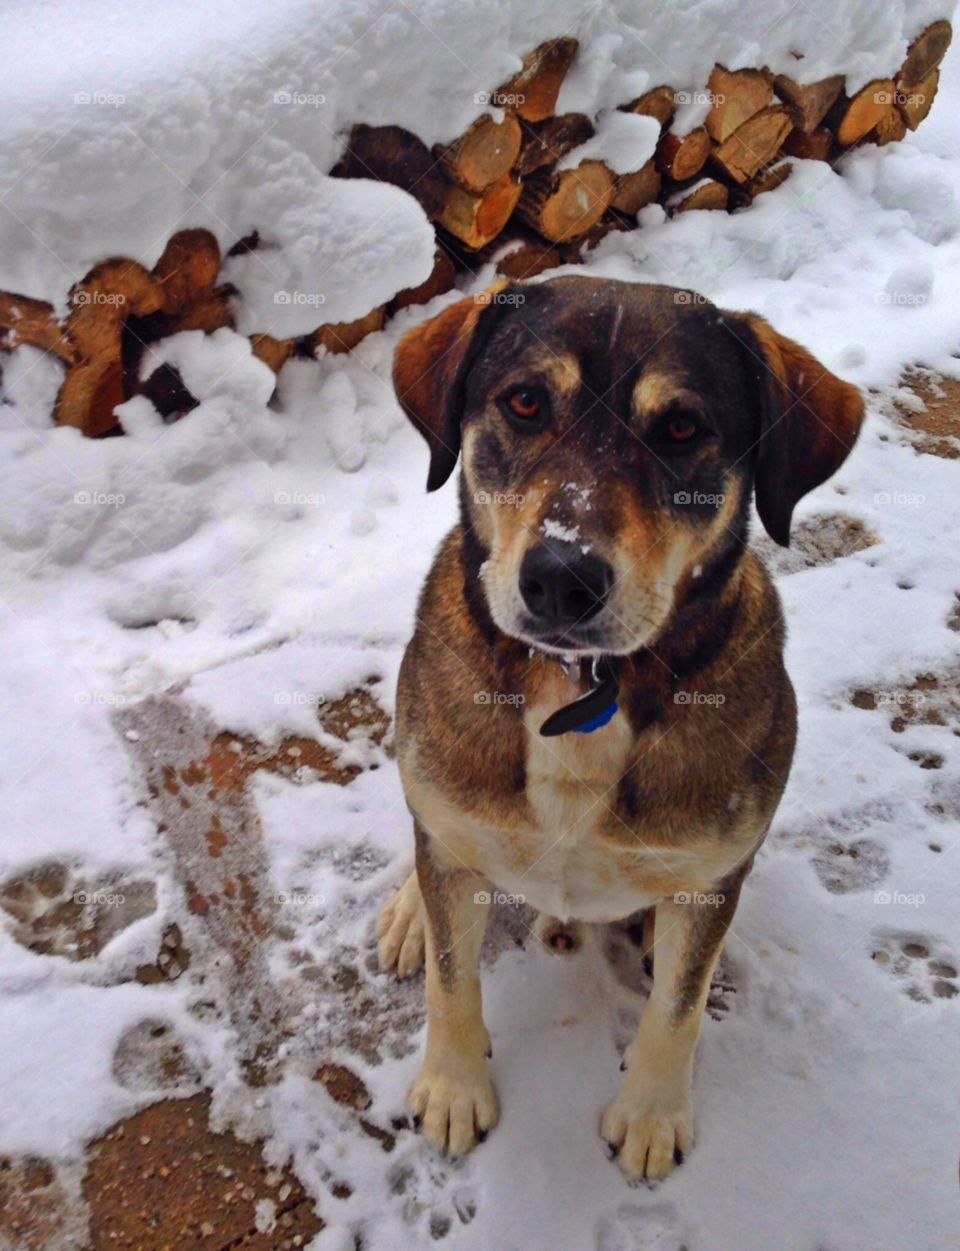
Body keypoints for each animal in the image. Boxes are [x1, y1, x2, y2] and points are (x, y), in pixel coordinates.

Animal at [375, 276, 861, 1180]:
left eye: (682, 427)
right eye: (525, 401)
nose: (562, 578)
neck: (583, 690)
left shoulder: (710, 877)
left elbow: (679, 1005)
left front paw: (651, 1114)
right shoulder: (452, 820)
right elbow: (453, 980)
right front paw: (455, 1087)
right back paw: (409, 911)